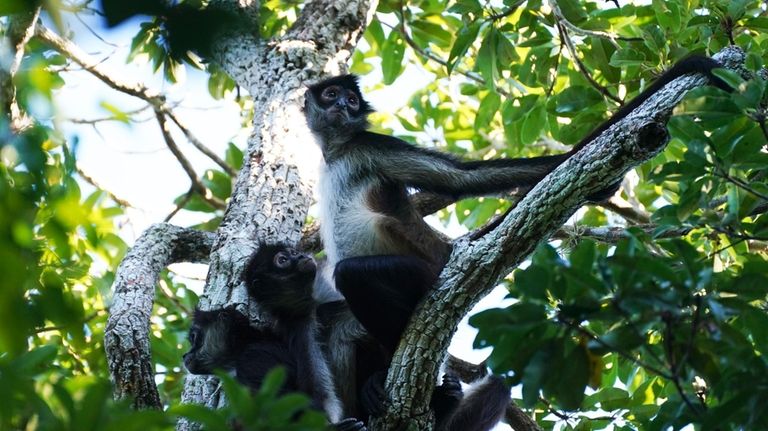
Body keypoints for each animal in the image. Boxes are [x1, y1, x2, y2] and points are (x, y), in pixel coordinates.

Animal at [304, 56, 728, 354]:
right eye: (332, 95)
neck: (339, 151)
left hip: (424, 271)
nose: (343, 104)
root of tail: (446, 250)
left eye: (352, 100)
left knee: (353, 275)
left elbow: (461, 180)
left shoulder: (372, 147)